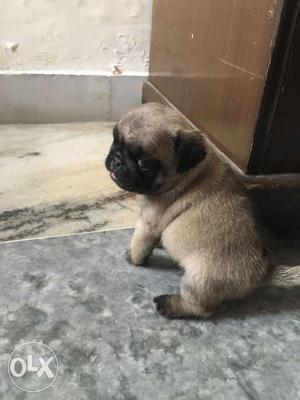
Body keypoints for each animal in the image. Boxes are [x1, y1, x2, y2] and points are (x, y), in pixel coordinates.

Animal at [105, 102, 300, 318]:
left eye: (143, 163)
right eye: (114, 140)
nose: (116, 160)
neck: (190, 173)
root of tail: (264, 271)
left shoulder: (148, 223)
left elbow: (139, 245)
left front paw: (133, 257)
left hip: (199, 279)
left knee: (201, 309)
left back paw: (170, 305)